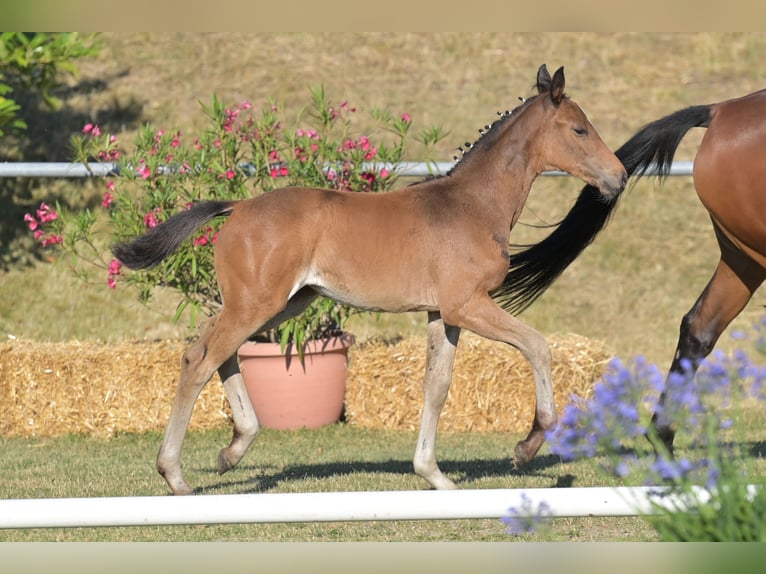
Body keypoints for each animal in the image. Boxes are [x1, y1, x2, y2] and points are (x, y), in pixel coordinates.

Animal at [113, 64, 627, 495]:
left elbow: (437, 385)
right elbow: (537, 346)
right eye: (579, 129)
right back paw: (176, 474)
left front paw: (434, 475)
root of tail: (236, 207)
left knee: (216, 352)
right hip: (257, 304)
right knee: (199, 360)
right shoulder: (468, 304)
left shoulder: (443, 312)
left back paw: (232, 449)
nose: (619, 177)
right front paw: (528, 445)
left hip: (282, 303)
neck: (472, 206)